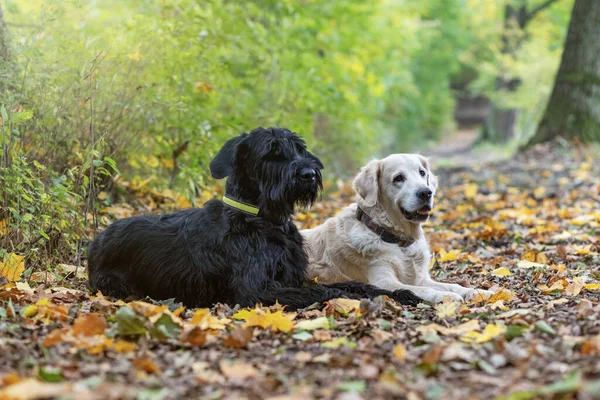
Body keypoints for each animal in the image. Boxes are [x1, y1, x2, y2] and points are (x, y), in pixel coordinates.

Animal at [86, 128, 420, 310]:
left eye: (300, 148)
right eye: (272, 154)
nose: (309, 174)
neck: (264, 221)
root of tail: (95, 240)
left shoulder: (292, 277)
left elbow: (356, 284)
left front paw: (400, 293)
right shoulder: (257, 291)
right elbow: (328, 289)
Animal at [300, 154, 492, 304]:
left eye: (422, 173)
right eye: (398, 178)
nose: (426, 192)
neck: (397, 239)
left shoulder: (422, 279)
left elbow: (453, 285)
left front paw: (477, 292)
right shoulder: (384, 282)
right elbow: (420, 290)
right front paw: (446, 296)